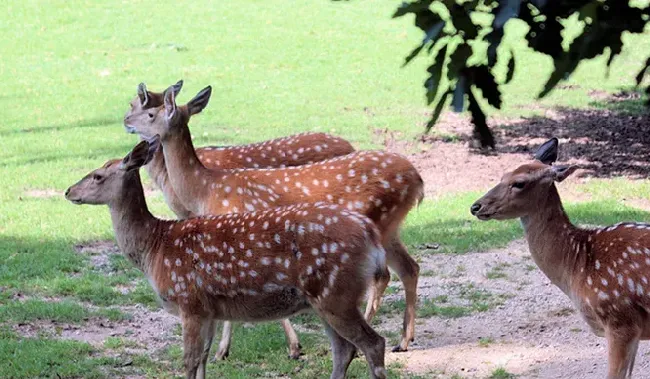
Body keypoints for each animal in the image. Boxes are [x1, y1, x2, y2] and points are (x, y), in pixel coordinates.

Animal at [64, 139, 390, 379]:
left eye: (98, 175)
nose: (68, 190)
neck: (154, 248)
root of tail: (371, 234)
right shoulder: (208, 308)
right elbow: (203, 360)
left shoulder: (189, 301)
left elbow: (189, 361)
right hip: (323, 298)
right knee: (344, 350)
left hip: (336, 292)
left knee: (373, 344)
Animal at [124, 85, 422, 354]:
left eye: (150, 112)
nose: (126, 121)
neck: (204, 189)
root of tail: (418, 179)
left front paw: (230, 350)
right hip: (390, 228)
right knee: (409, 267)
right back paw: (403, 340)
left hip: (380, 223)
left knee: (384, 275)